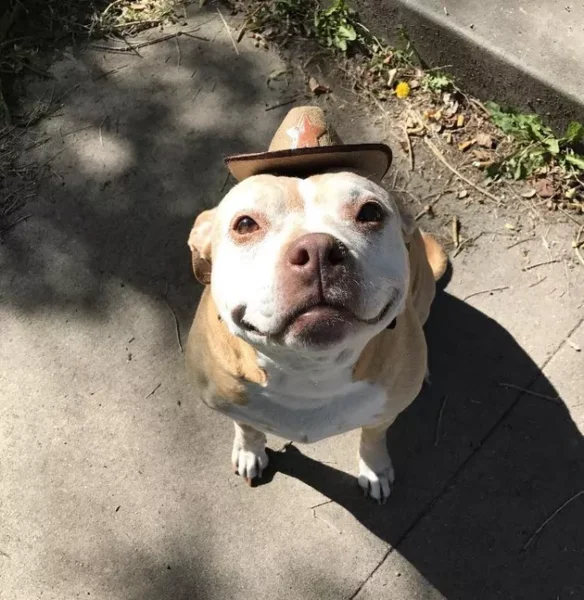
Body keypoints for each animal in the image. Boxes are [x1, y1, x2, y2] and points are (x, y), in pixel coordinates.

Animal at [187, 108, 448, 502]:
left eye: (370, 212)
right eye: (245, 224)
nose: (318, 250)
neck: (310, 371)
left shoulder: (385, 411)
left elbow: (373, 437)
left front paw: (374, 469)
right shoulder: (227, 399)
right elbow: (247, 426)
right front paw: (249, 450)